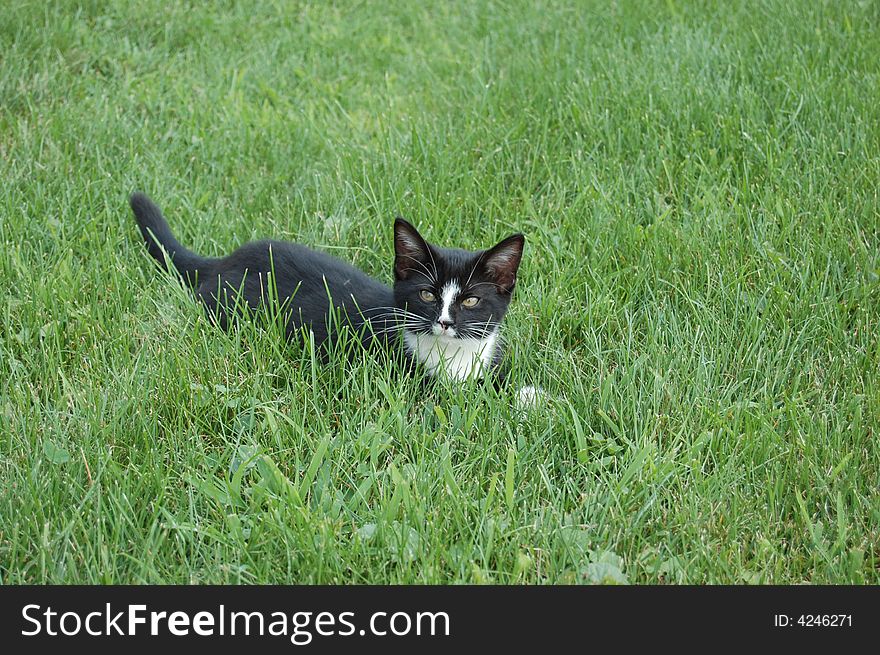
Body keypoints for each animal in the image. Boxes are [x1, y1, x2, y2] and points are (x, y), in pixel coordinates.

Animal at [128, 192, 524, 384]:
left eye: (471, 300)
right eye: (427, 294)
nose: (444, 322)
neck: (453, 354)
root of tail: (224, 261)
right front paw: (526, 398)